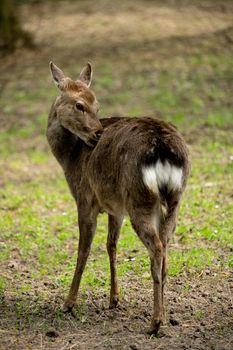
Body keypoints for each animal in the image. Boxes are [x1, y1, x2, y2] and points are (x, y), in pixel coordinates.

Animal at [46, 61, 190, 334]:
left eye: (96, 104)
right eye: (80, 105)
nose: (97, 134)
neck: (69, 158)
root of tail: (164, 149)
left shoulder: (85, 198)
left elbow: (84, 249)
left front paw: (68, 303)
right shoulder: (115, 207)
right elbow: (111, 245)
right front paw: (114, 299)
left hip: (139, 198)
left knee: (156, 248)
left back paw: (155, 323)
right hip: (173, 199)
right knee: (165, 248)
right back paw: (165, 316)